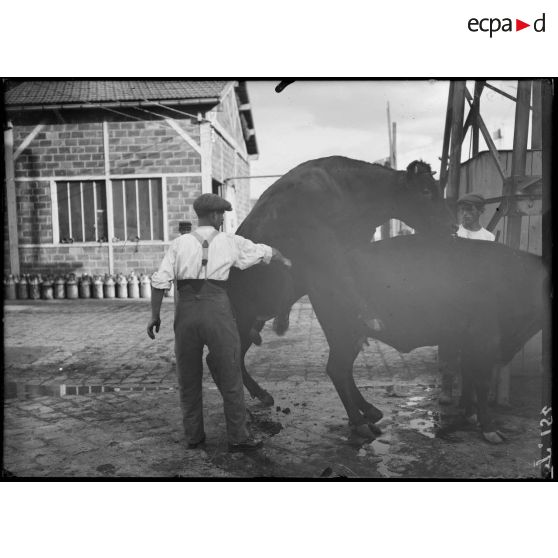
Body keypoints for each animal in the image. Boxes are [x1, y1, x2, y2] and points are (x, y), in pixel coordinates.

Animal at [230, 156, 458, 406]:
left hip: (253, 321)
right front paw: (370, 319)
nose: (454, 226)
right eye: (425, 191)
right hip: (241, 319)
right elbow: (345, 277)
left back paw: (262, 394)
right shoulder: (325, 246)